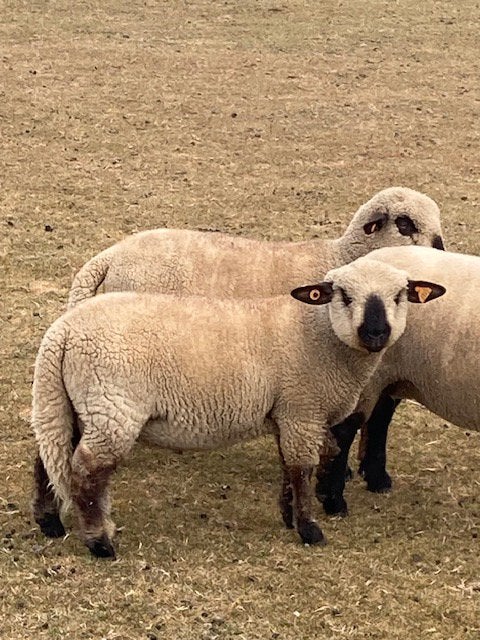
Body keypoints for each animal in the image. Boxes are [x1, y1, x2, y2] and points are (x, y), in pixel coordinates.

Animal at [31, 257, 445, 558]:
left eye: (400, 296)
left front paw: (289, 516)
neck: (320, 334)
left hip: (76, 403)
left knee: (49, 454)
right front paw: (310, 529)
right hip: (113, 407)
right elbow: (302, 468)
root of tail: (61, 333)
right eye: (342, 295)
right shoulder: (302, 409)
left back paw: (50, 523)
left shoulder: (288, 413)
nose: (376, 333)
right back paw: (99, 542)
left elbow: (288, 467)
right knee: (86, 471)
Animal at [316, 245, 478, 517]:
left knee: (379, 418)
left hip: (390, 375)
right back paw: (334, 501)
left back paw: (377, 480)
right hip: (368, 378)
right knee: (345, 430)